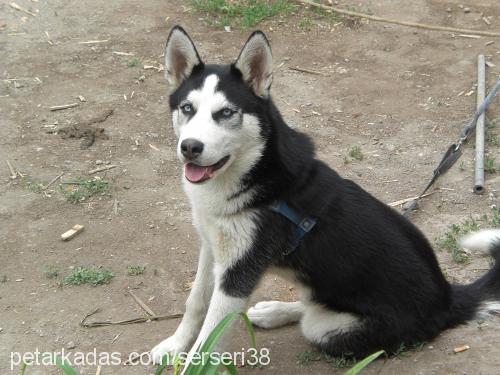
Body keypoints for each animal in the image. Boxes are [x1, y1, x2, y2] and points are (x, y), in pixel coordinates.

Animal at [151, 25, 500, 364]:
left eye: (225, 113)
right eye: (187, 108)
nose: (190, 147)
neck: (252, 171)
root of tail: (448, 297)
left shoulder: (238, 273)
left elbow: (207, 341)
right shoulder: (212, 246)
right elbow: (195, 302)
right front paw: (174, 345)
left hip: (328, 328)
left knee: (314, 316)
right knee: (310, 303)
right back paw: (274, 311)